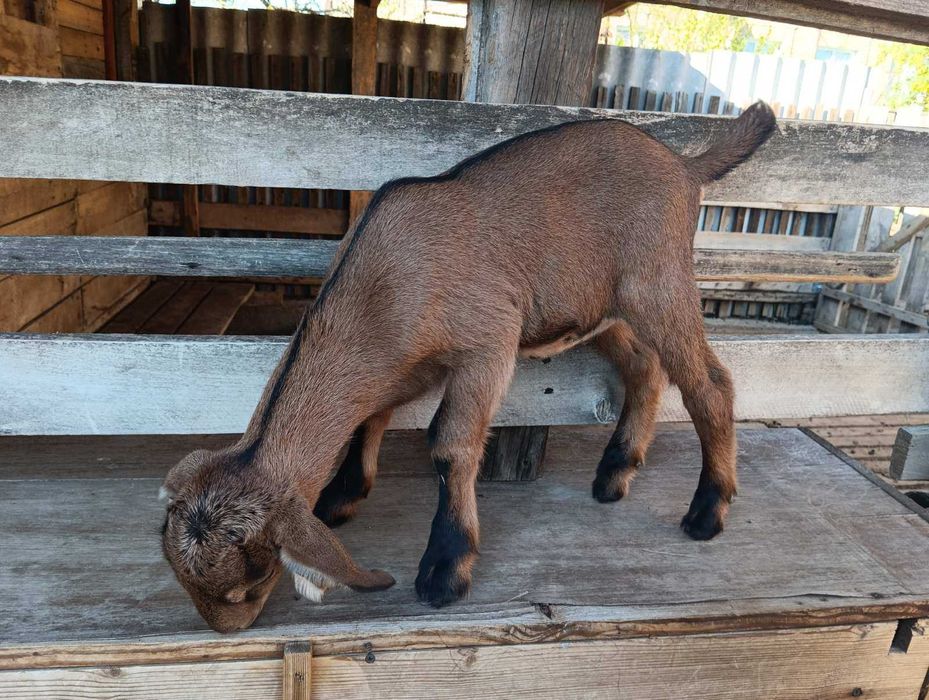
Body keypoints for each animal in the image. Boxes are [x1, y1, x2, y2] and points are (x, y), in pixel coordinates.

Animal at [161, 101, 777, 632]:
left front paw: (445, 569)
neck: (385, 284)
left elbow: (450, 444)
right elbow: (369, 420)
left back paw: (707, 511)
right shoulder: (403, 367)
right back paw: (614, 474)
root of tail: (683, 164)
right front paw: (343, 495)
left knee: (709, 384)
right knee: (644, 367)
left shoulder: (489, 339)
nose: (227, 628)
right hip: (603, 307)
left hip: (657, 280)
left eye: (250, 579)